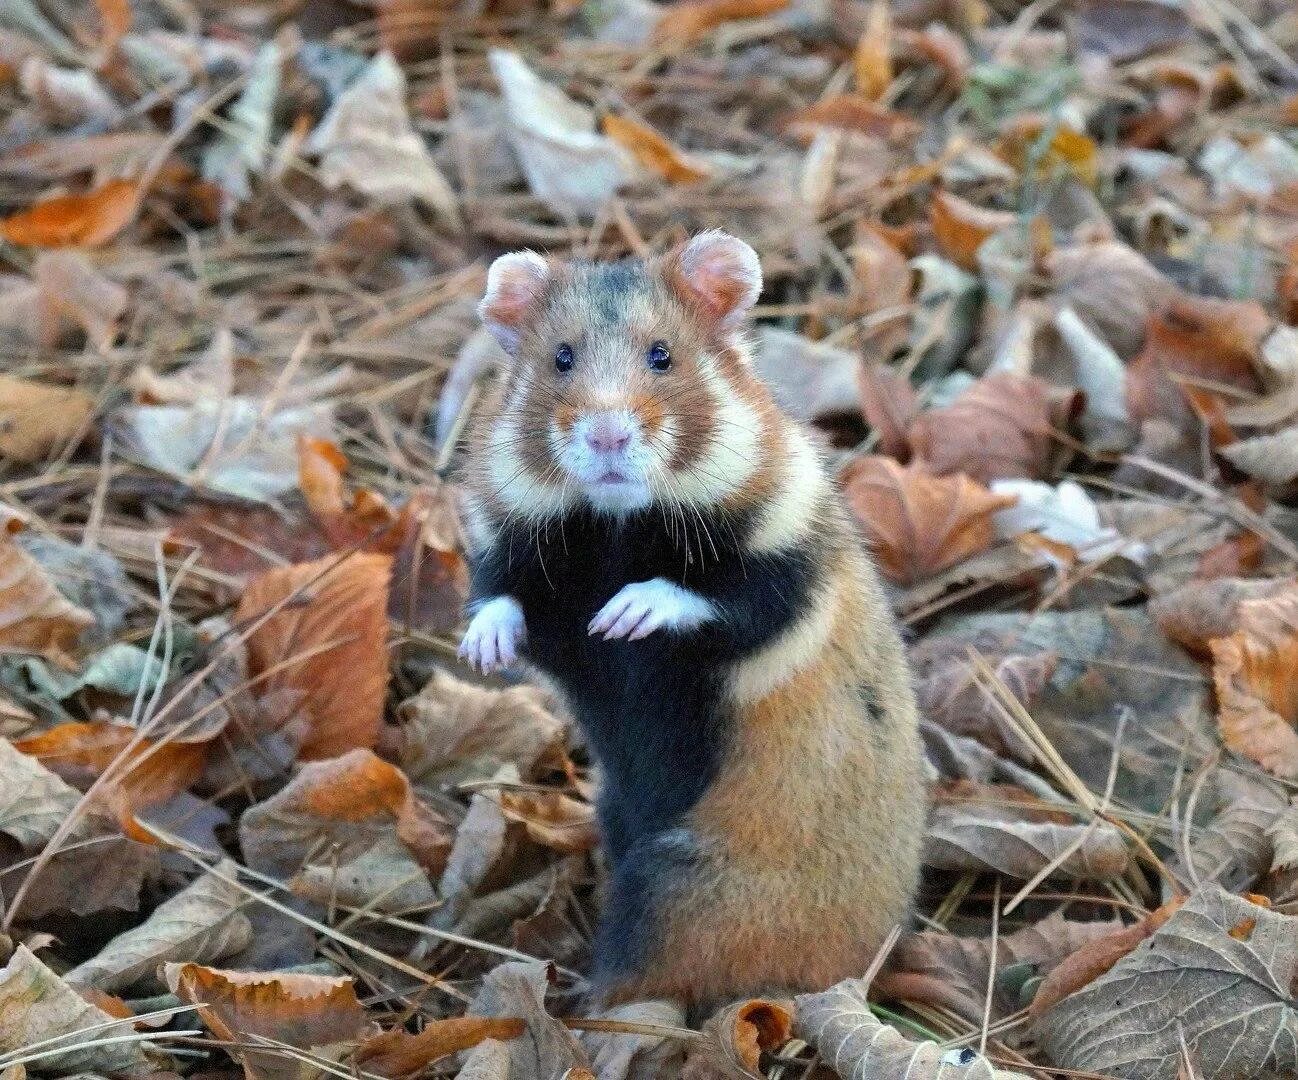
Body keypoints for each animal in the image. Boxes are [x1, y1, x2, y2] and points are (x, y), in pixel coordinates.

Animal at [456, 229, 924, 1012]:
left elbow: (717, 597)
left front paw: (625, 613)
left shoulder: (787, 565)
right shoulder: (518, 555)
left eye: (662, 356)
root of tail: (863, 966)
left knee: (646, 976)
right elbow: (502, 595)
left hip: (679, 892)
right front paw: (484, 649)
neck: (616, 524)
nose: (608, 438)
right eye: (561, 358)